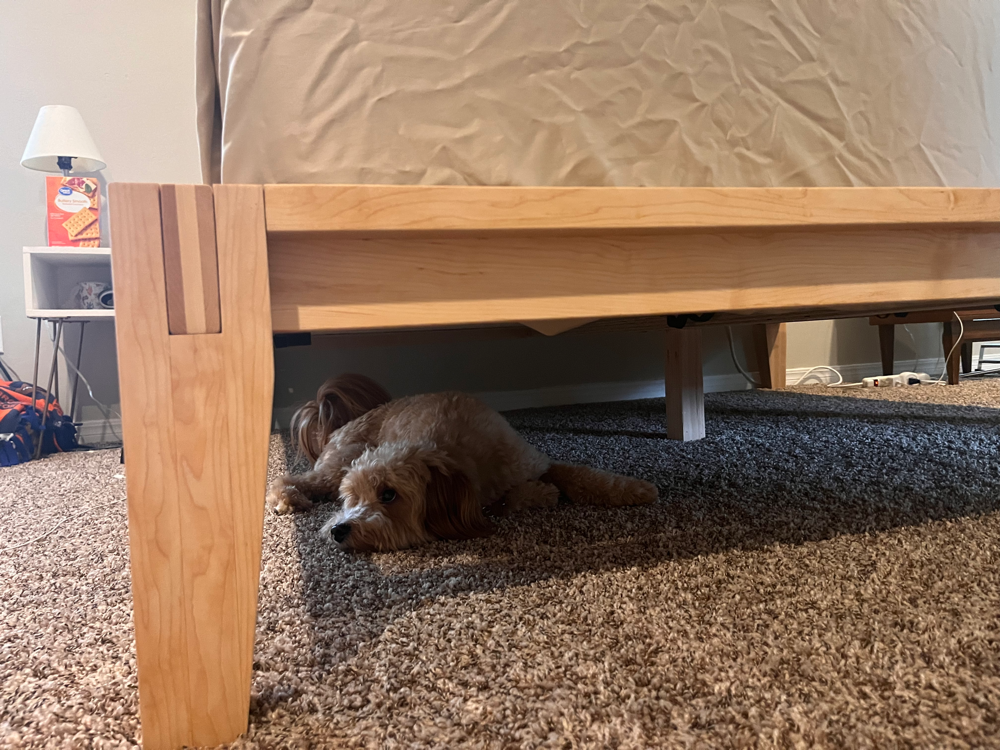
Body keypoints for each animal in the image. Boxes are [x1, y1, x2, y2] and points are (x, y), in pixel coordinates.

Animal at [268, 376, 656, 552]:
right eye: (353, 498)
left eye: (389, 494)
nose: (338, 530)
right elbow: (511, 500)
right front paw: (541, 494)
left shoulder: (533, 460)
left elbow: (581, 475)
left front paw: (634, 489)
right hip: (339, 463)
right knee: (294, 480)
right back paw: (287, 498)